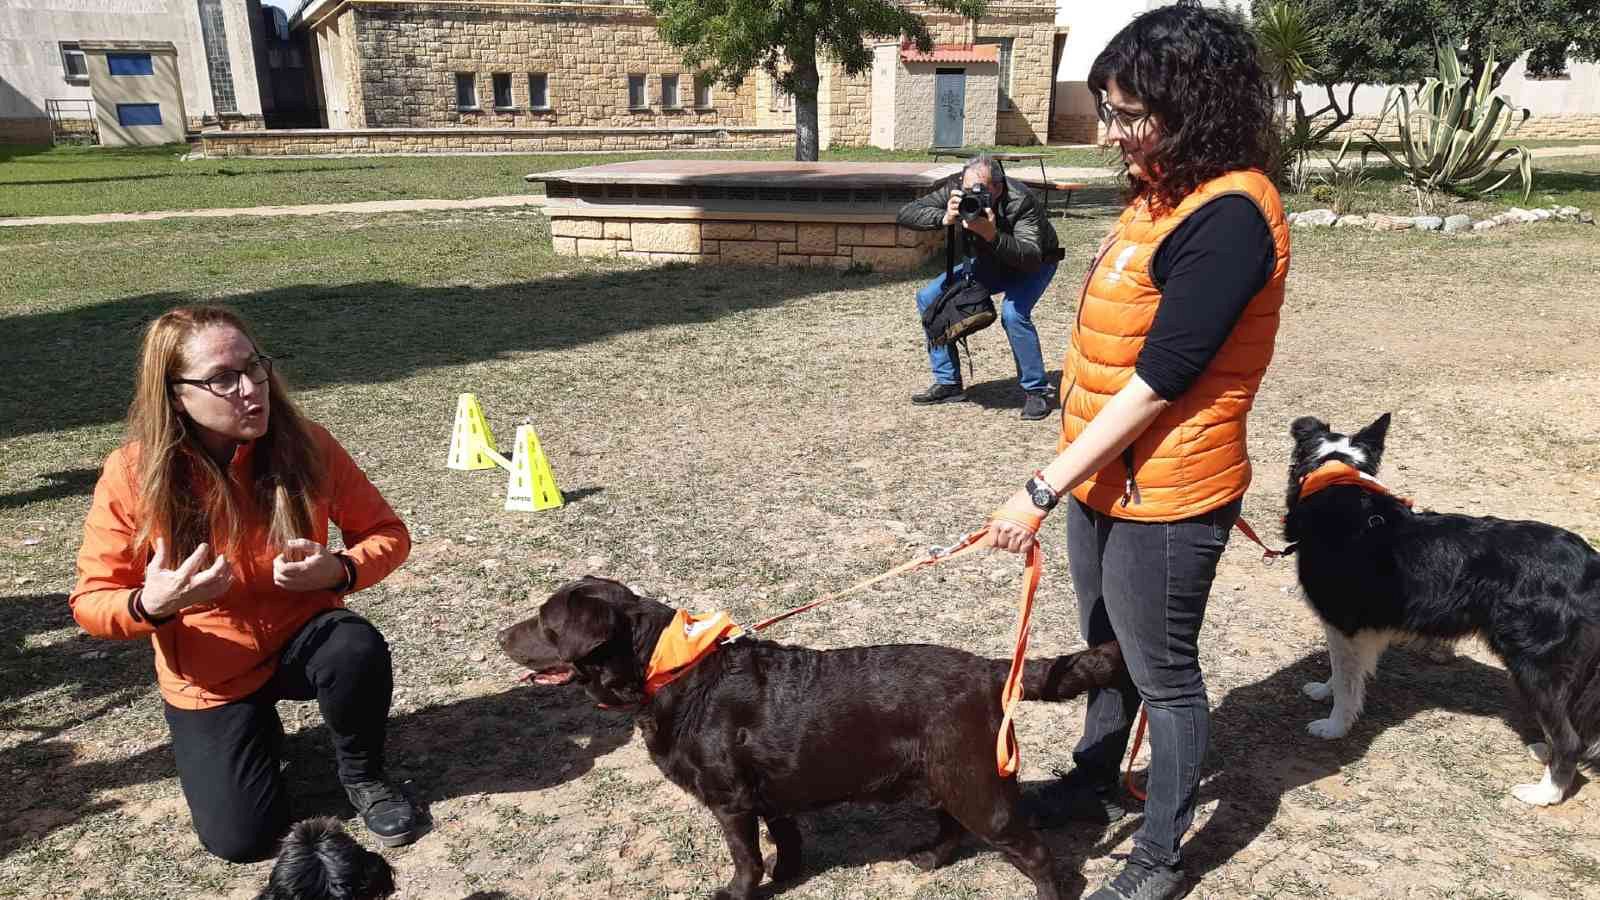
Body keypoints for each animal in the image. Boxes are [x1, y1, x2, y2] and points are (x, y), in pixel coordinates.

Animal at [499, 573, 1126, 896]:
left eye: (545, 622)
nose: (501, 636)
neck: (670, 669)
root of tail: (993, 670)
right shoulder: (771, 794)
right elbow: (787, 840)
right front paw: (789, 877)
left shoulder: (730, 802)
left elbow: (746, 859)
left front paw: (741, 893)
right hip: (945, 775)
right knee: (951, 824)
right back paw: (930, 858)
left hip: (974, 784)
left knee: (1038, 854)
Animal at [1286, 409, 1600, 800]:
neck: (1335, 475)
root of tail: (1591, 564)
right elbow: (1347, 671)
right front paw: (1324, 690)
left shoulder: (1343, 622)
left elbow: (1346, 680)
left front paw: (1334, 726)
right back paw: (1543, 751)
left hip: (1535, 666)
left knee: (1569, 740)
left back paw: (1544, 794)